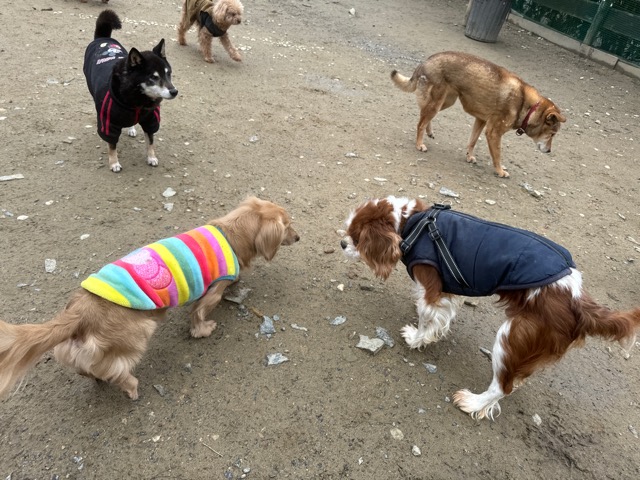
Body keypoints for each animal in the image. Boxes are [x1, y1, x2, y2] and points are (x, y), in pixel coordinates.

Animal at [0, 197, 299, 400]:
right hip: (138, 331)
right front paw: (203, 329)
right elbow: (199, 313)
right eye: (288, 226)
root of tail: (81, 311)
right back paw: (130, 386)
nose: (298, 237)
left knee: (86, 367)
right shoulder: (212, 292)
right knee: (115, 369)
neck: (230, 233)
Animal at [83, 10, 178, 173]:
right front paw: (114, 162)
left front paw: (151, 157)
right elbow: (112, 146)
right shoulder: (109, 123)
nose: (174, 91)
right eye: (153, 77)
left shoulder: (150, 119)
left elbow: (150, 141)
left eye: (168, 73)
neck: (139, 100)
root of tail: (103, 38)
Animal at [341, 196, 639, 420]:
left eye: (356, 237)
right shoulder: (447, 289)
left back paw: (473, 402)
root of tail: (577, 301)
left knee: (502, 387)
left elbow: (427, 317)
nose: (342, 243)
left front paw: (417, 338)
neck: (412, 223)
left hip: (513, 337)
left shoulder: (431, 288)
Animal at [391, 51, 566, 178]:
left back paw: (429, 131)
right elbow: (497, 155)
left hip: (446, 102)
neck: (529, 107)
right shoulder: (494, 132)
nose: (549, 151)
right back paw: (419, 143)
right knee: (420, 122)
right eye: (552, 134)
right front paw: (500, 171)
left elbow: (472, 142)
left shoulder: (481, 121)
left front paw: (469, 157)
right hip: (437, 103)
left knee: (424, 116)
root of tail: (425, 62)